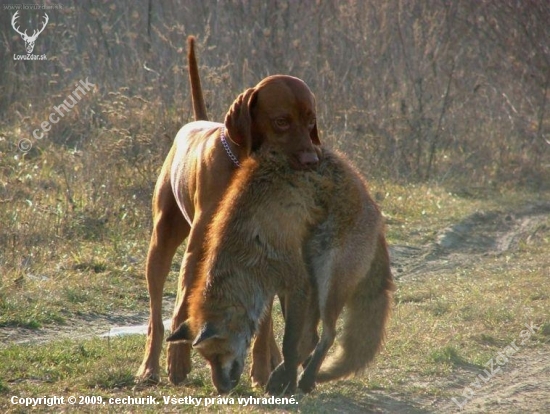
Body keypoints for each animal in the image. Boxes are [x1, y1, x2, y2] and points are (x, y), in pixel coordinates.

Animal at [135, 37, 322, 386]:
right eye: (281, 121)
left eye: (311, 121)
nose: (312, 161)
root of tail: (196, 121)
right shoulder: (198, 250)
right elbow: (183, 303)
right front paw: (178, 361)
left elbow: (262, 319)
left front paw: (261, 368)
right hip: (161, 242)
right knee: (157, 312)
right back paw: (150, 367)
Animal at [166, 146, 394, 394]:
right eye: (207, 359)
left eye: (219, 354)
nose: (222, 389)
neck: (250, 240)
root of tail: (373, 204)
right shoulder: (278, 286)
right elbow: (291, 341)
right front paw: (285, 379)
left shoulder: (297, 283)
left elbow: (289, 344)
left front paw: (291, 385)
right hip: (314, 278)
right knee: (312, 337)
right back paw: (289, 377)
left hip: (327, 280)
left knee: (328, 335)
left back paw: (304, 379)